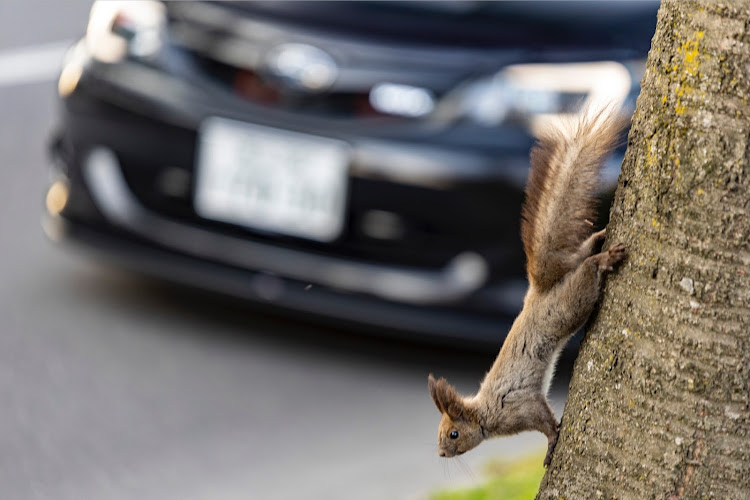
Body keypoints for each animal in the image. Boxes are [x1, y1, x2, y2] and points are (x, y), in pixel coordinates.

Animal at [428, 107, 628, 466]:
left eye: (453, 434)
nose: (440, 453)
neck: (485, 412)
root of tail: (537, 293)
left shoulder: (519, 407)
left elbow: (543, 419)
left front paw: (550, 443)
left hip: (569, 306)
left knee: (587, 271)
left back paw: (604, 259)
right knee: (582, 253)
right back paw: (600, 238)